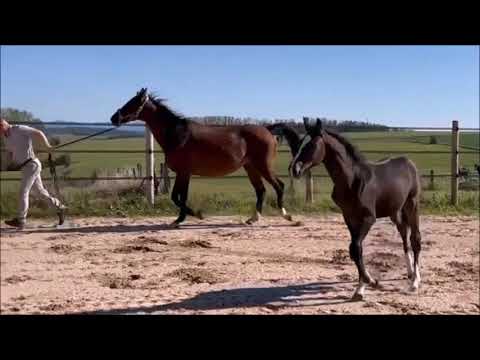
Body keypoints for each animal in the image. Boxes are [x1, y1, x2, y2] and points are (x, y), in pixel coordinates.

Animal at [111, 88, 298, 226]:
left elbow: (177, 197)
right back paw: (253, 219)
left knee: (279, 186)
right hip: (251, 167)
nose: (114, 118)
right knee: (261, 190)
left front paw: (196, 215)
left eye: (133, 102)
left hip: (263, 166)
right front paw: (180, 219)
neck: (177, 134)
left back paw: (286, 216)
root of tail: (268, 129)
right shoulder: (184, 174)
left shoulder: (184, 172)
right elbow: (180, 196)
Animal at [288, 118, 420, 300]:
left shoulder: (368, 218)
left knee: (415, 239)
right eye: (300, 144)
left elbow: (356, 247)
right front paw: (363, 286)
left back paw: (415, 281)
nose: (295, 169)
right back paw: (409, 272)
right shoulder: (349, 217)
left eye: (312, 145)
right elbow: (355, 250)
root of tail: (408, 162)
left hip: (411, 204)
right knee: (404, 235)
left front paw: (370, 282)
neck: (352, 180)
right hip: (395, 211)